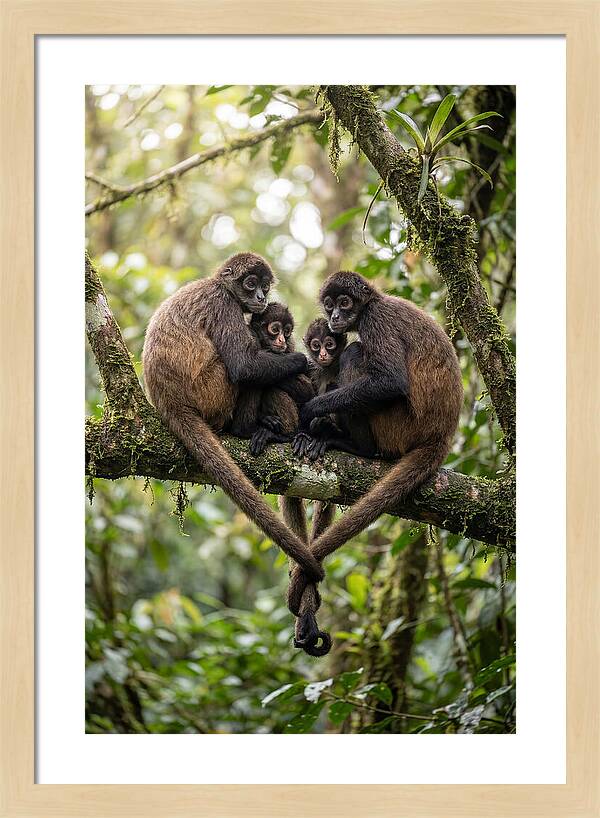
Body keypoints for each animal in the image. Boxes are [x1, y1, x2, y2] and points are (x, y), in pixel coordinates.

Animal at [142, 252, 324, 583]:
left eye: (265, 285)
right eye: (251, 284)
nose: (261, 297)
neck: (218, 285)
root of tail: (169, 401)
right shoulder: (223, 304)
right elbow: (244, 366)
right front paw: (301, 361)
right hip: (212, 391)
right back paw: (246, 429)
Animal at [286, 269, 463, 619]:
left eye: (344, 303)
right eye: (329, 305)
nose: (335, 317)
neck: (374, 302)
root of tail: (442, 435)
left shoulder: (375, 320)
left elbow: (391, 381)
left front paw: (312, 413)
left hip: (398, 426)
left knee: (356, 352)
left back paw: (355, 446)